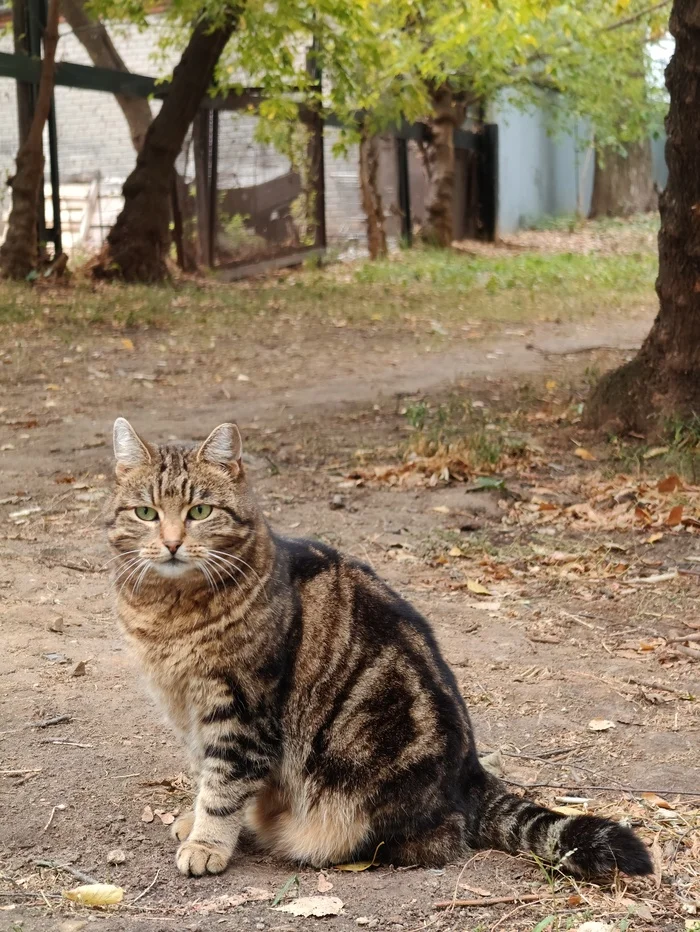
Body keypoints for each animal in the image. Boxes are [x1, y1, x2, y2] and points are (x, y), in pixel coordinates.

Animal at [106, 418, 652, 876]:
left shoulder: (240, 708)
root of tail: (473, 776)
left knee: (432, 840)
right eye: (146, 513)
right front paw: (192, 819)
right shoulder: (187, 708)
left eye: (199, 511)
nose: (172, 543)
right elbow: (204, 770)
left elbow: (223, 785)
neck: (170, 611)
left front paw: (207, 844)